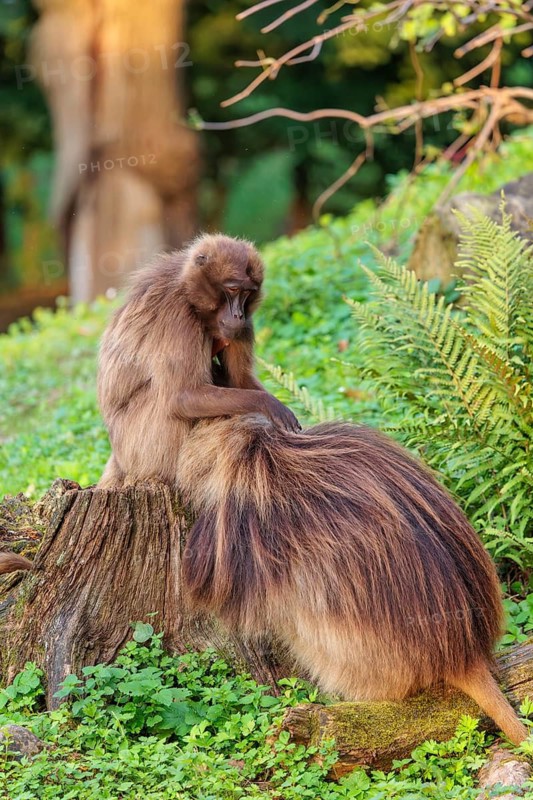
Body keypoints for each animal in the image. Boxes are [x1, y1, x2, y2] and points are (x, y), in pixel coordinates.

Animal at [97, 234, 300, 488]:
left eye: (247, 293)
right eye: (233, 289)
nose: (238, 315)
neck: (188, 292)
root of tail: (118, 459)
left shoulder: (242, 326)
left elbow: (239, 379)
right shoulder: (179, 317)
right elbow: (182, 398)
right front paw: (269, 404)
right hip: (138, 448)